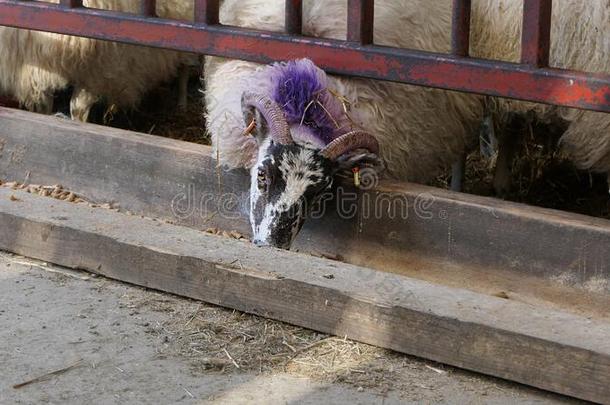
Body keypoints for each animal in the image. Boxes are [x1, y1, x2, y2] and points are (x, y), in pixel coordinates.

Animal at [0, 0, 195, 120]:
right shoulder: (38, 65)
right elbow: (44, 108)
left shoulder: (97, 68)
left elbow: (77, 108)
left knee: (185, 69)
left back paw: (182, 105)